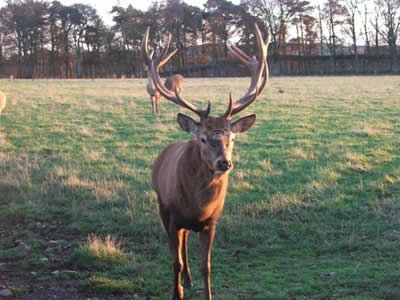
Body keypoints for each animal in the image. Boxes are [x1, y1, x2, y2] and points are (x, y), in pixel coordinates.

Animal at [141, 24, 268, 300]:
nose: (224, 163)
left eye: (232, 138)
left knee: (186, 241)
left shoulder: (212, 222)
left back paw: (188, 280)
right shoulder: (172, 215)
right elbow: (175, 262)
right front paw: (175, 293)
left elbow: (206, 266)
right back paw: (183, 282)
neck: (197, 205)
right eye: (203, 138)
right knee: (180, 247)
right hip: (161, 205)